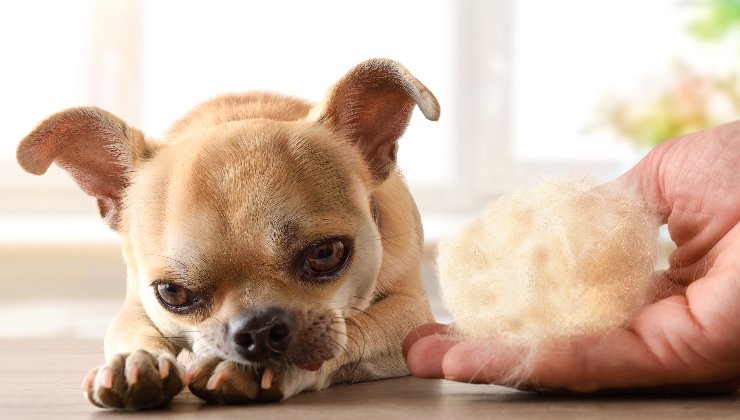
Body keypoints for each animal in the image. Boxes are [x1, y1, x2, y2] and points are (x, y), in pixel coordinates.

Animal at [15, 57, 440, 408]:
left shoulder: (410, 313)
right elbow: (134, 332)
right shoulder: (136, 306)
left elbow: (353, 326)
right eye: (172, 293)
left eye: (326, 254)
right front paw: (135, 361)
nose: (258, 329)